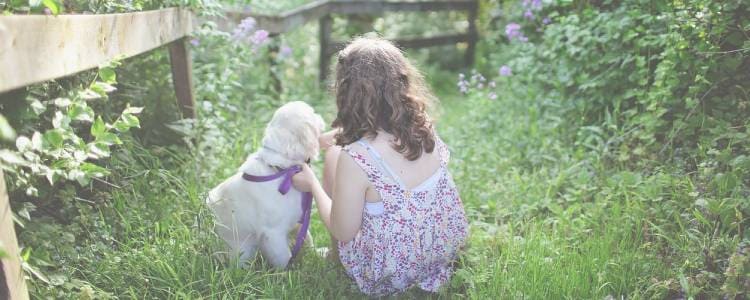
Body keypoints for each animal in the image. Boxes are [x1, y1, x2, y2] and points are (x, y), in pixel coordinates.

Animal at [207, 101, 324, 268]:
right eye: (313, 113)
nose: (320, 116)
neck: (281, 170)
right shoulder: (273, 233)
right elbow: (284, 257)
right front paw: (289, 272)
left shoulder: (298, 221)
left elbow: (307, 238)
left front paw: (317, 254)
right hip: (241, 250)